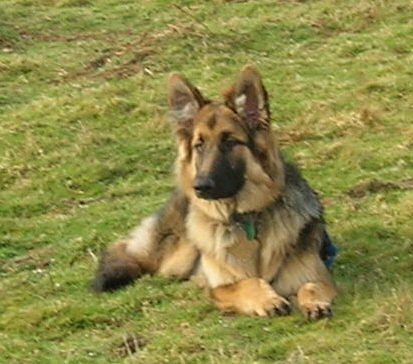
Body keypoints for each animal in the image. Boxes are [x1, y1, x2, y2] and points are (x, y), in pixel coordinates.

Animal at [91, 65, 336, 318]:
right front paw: (268, 299)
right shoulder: (220, 287)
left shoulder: (319, 275)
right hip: (178, 257)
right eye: (199, 145)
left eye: (230, 142)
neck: (244, 219)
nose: (201, 186)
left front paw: (313, 302)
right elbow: (247, 283)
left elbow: (311, 285)